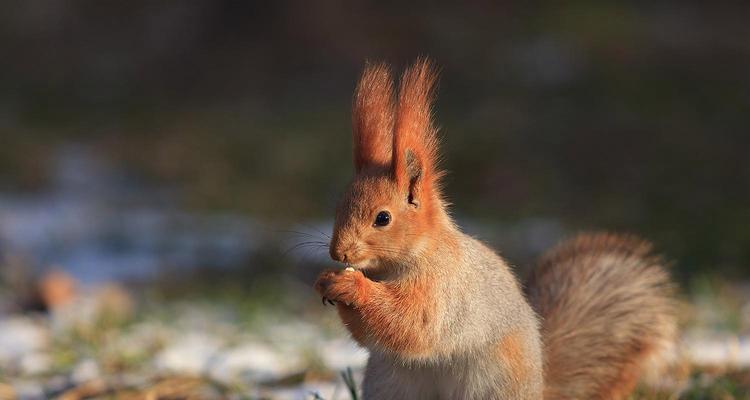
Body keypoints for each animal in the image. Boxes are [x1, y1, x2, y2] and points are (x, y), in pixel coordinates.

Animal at [314, 59, 680, 400]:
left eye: (383, 218)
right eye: (338, 205)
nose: (338, 253)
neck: (405, 259)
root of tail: (539, 389)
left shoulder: (443, 288)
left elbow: (412, 324)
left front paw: (350, 285)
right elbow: (373, 335)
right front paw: (326, 281)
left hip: (494, 384)